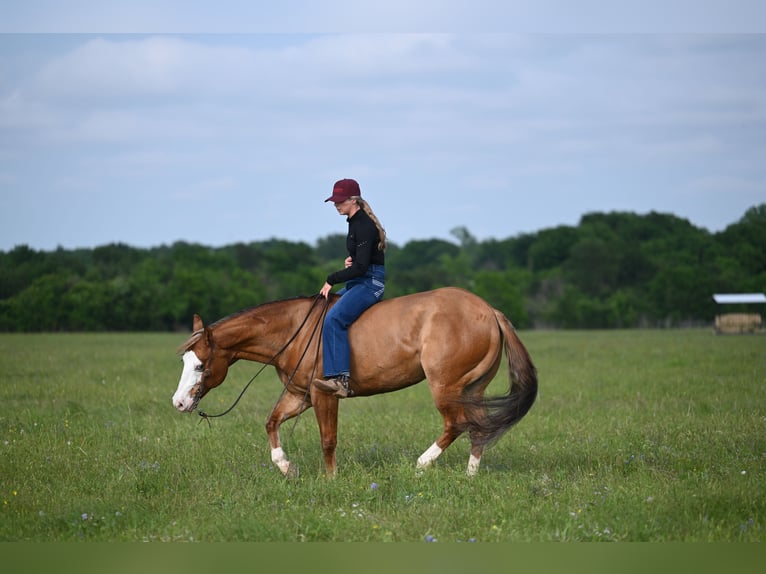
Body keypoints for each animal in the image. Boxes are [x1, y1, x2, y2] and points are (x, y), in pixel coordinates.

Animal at [172, 286, 537, 477]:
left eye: (201, 366)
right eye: (185, 362)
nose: (179, 402)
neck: (295, 330)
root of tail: (489, 311)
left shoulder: (324, 395)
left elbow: (328, 440)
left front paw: (331, 479)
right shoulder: (300, 394)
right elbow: (271, 422)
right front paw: (285, 466)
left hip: (445, 387)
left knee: (456, 425)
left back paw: (422, 464)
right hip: (471, 388)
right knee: (478, 428)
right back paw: (469, 476)